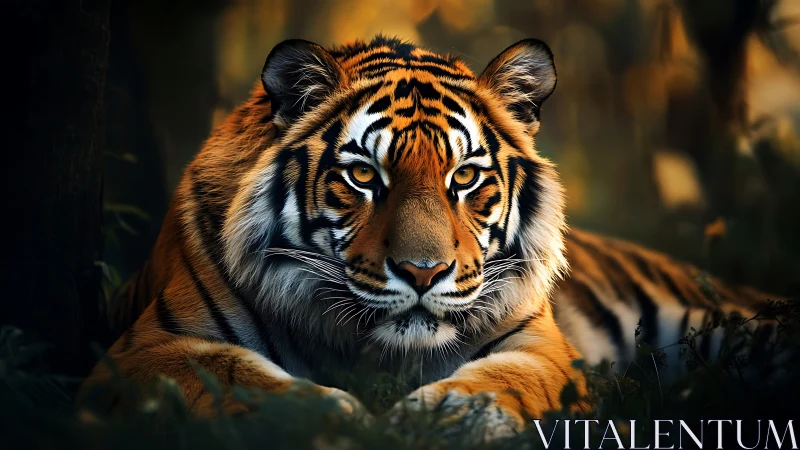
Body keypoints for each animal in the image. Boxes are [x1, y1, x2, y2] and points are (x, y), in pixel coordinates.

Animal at [82, 36, 783, 437]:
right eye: (364, 175)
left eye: (465, 177)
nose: (423, 273)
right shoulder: (146, 350)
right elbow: (238, 378)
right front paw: (334, 417)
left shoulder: (540, 350)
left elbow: (498, 383)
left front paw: (437, 420)